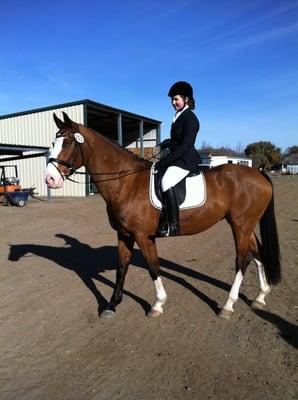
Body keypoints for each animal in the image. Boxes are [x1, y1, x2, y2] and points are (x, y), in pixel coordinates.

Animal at [43, 111, 280, 320]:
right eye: (52, 143)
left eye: (66, 143)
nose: (49, 179)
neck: (125, 182)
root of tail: (258, 173)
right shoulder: (124, 234)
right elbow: (121, 268)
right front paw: (111, 305)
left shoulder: (142, 236)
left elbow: (153, 267)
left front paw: (157, 304)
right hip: (245, 226)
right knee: (257, 254)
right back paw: (260, 296)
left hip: (240, 226)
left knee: (242, 260)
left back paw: (228, 306)